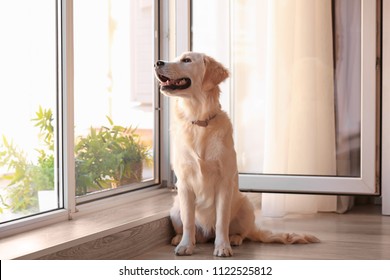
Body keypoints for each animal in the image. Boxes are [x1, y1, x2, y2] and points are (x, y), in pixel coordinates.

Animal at [154, 51, 318, 258]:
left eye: (186, 60)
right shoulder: (184, 184)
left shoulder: (224, 182)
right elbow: (189, 222)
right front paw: (185, 245)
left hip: (246, 206)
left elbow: (221, 221)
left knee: (244, 232)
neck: (200, 122)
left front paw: (223, 246)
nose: (157, 62)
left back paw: (234, 238)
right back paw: (181, 238)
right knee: (191, 228)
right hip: (175, 209)